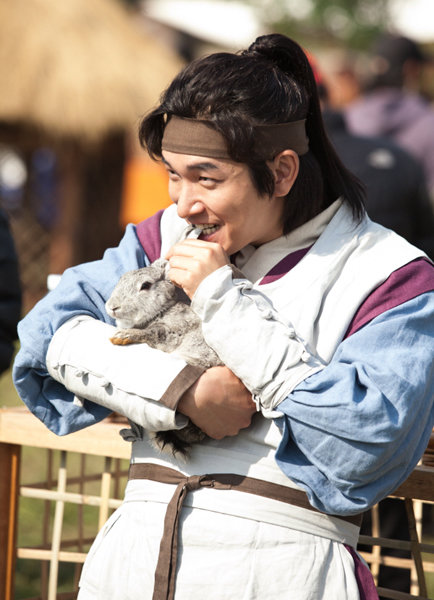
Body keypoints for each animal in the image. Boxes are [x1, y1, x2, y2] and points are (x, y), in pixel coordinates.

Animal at [104, 256, 220, 454]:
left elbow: (151, 333)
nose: (112, 307)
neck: (161, 311)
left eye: (145, 286)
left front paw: (122, 337)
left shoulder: (170, 332)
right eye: (121, 278)